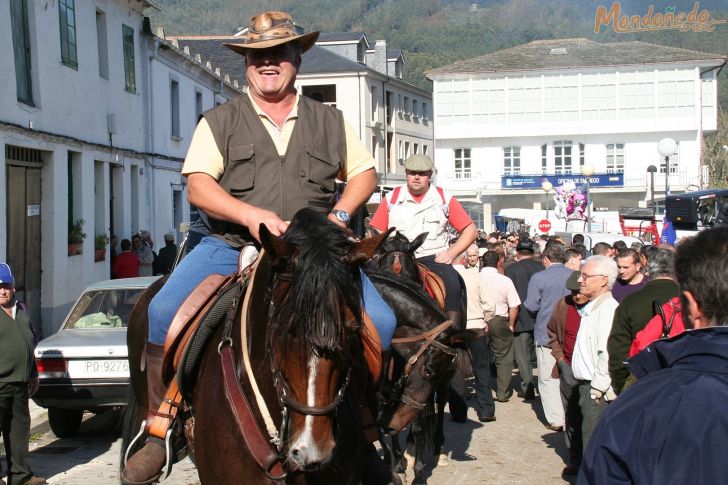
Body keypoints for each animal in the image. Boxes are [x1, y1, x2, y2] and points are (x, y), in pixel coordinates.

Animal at [370, 232, 466, 484]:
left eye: (410, 270)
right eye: (381, 260)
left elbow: (419, 420)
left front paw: (418, 469)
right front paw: (396, 462)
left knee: (439, 403)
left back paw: (436, 450)